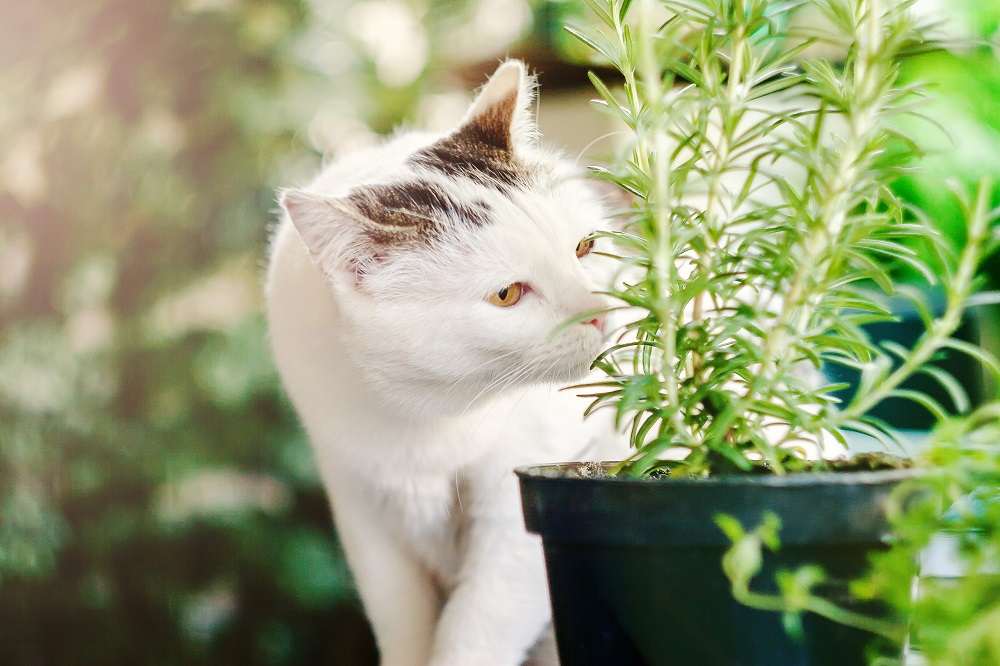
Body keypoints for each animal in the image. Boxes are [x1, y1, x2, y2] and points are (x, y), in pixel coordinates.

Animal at [266, 59, 624, 660]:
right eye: (507, 295)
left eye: (584, 248)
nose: (599, 313)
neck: (427, 418)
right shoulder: (362, 509)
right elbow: (403, 625)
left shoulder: (518, 508)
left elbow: (473, 635)